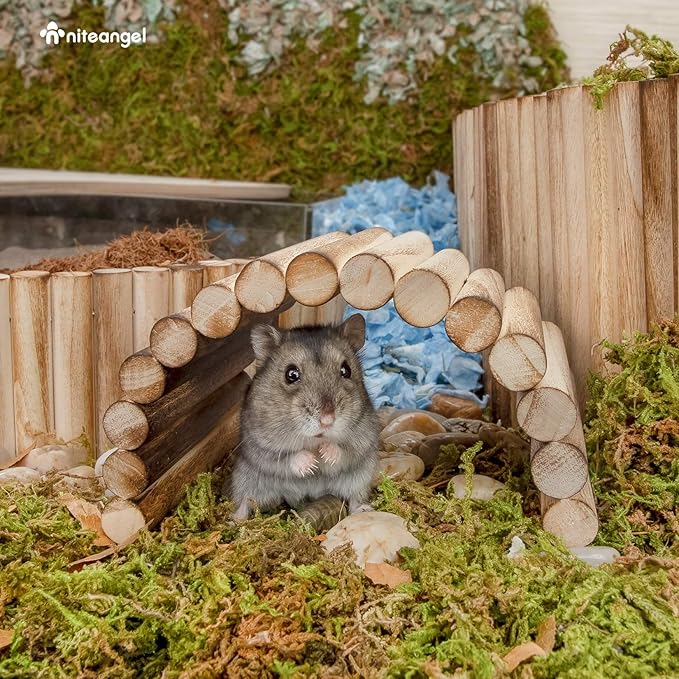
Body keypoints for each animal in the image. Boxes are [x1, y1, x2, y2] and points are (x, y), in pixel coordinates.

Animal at [226, 313, 380, 520]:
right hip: (245, 479)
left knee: (355, 497)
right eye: (291, 374)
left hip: (361, 477)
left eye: (346, 370)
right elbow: (286, 458)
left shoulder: (363, 439)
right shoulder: (260, 446)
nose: (327, 420)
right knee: (244, 501)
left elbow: (344, 451)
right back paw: (235, 520)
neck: (313, 441)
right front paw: (311, 463)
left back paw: (364, 510)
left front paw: (325, 453)